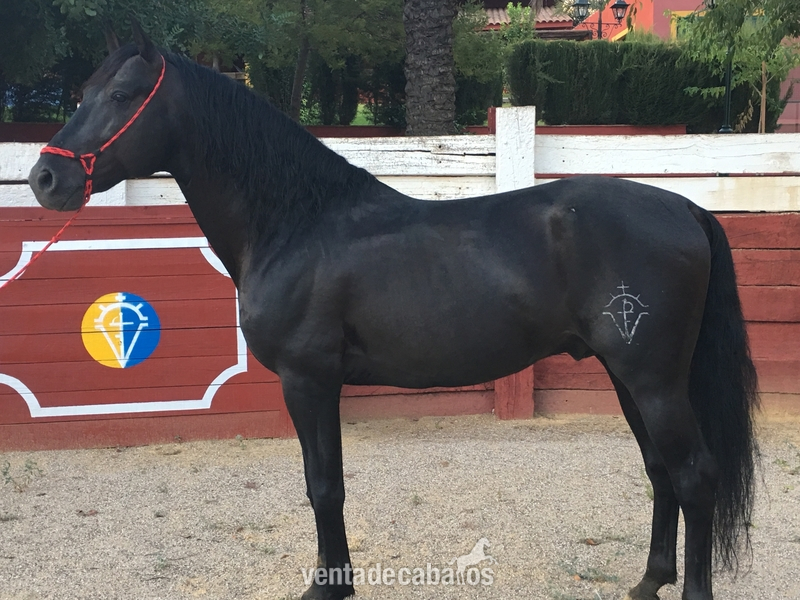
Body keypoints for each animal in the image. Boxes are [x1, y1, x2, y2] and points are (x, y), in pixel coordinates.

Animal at [27, 23, 758, 600]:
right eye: (83, 92)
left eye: (122, 96)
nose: (45, 178)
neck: (296, 223)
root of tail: (686, 208)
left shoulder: (309, 380)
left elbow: (324, 486)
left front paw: (328, 589)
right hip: (627, 374)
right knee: (661, 472)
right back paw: (648, 581)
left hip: (653, 379)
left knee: (695, 477)